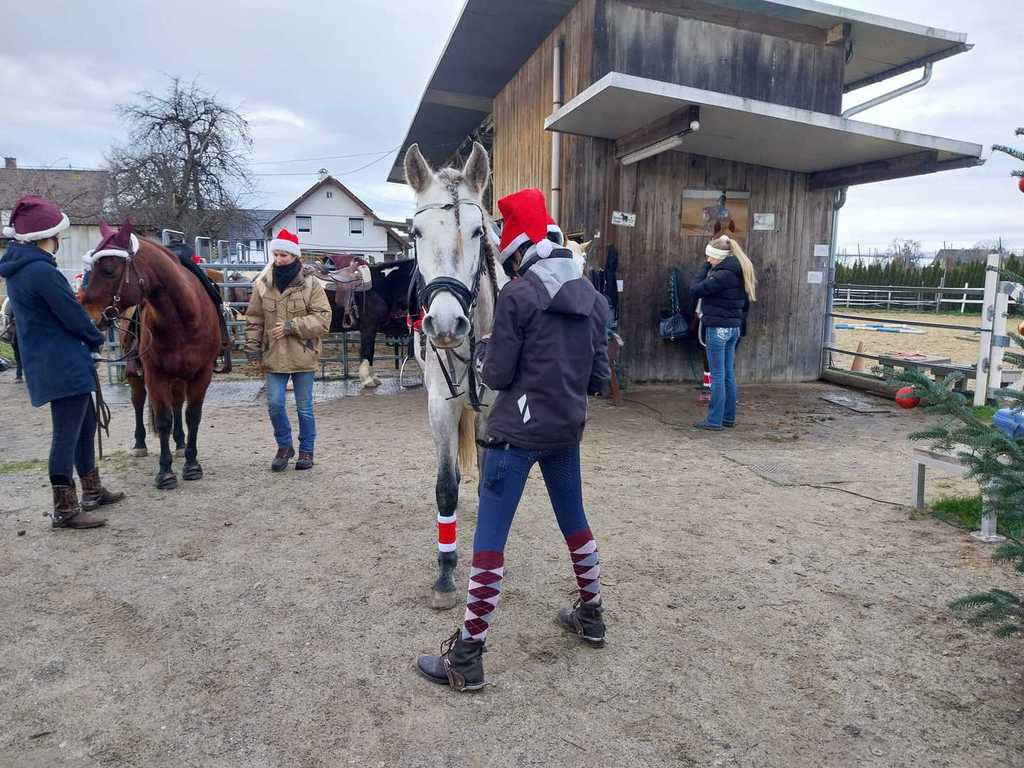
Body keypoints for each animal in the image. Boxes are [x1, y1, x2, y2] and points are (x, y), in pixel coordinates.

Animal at [80, 220, 222, 489]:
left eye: (109, 269)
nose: (89, 318)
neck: (183, 319)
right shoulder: (155, 374)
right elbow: (163, 418)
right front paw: (165, 473)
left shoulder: (202, 373)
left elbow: (192, 416)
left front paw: (192, 464)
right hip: (136, 374)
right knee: (138, 402)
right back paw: (140, 444)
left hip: (178, 376)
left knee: (177, 403)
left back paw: (180, 443)